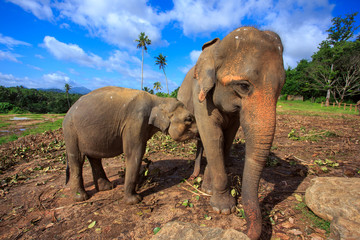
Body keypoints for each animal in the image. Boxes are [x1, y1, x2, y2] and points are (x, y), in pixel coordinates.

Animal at [63, 86, 198, 202]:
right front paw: (135, 200)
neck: (158, 99)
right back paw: (81, 197)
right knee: (77, 159)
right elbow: (134, 153)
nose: (193, 177)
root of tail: (69, 110)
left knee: (95, 158)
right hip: (70, 132)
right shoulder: (135, 121)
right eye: (189, 119)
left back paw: (107, 187)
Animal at [179, 27, 286, 239]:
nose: (244, 231)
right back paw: (195, 175)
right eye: (244, 86)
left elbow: (226, 138)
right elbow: (214, 137)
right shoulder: (199, 95)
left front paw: (209, 189)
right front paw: (223, 208)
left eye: (281, 88)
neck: (217, 48)